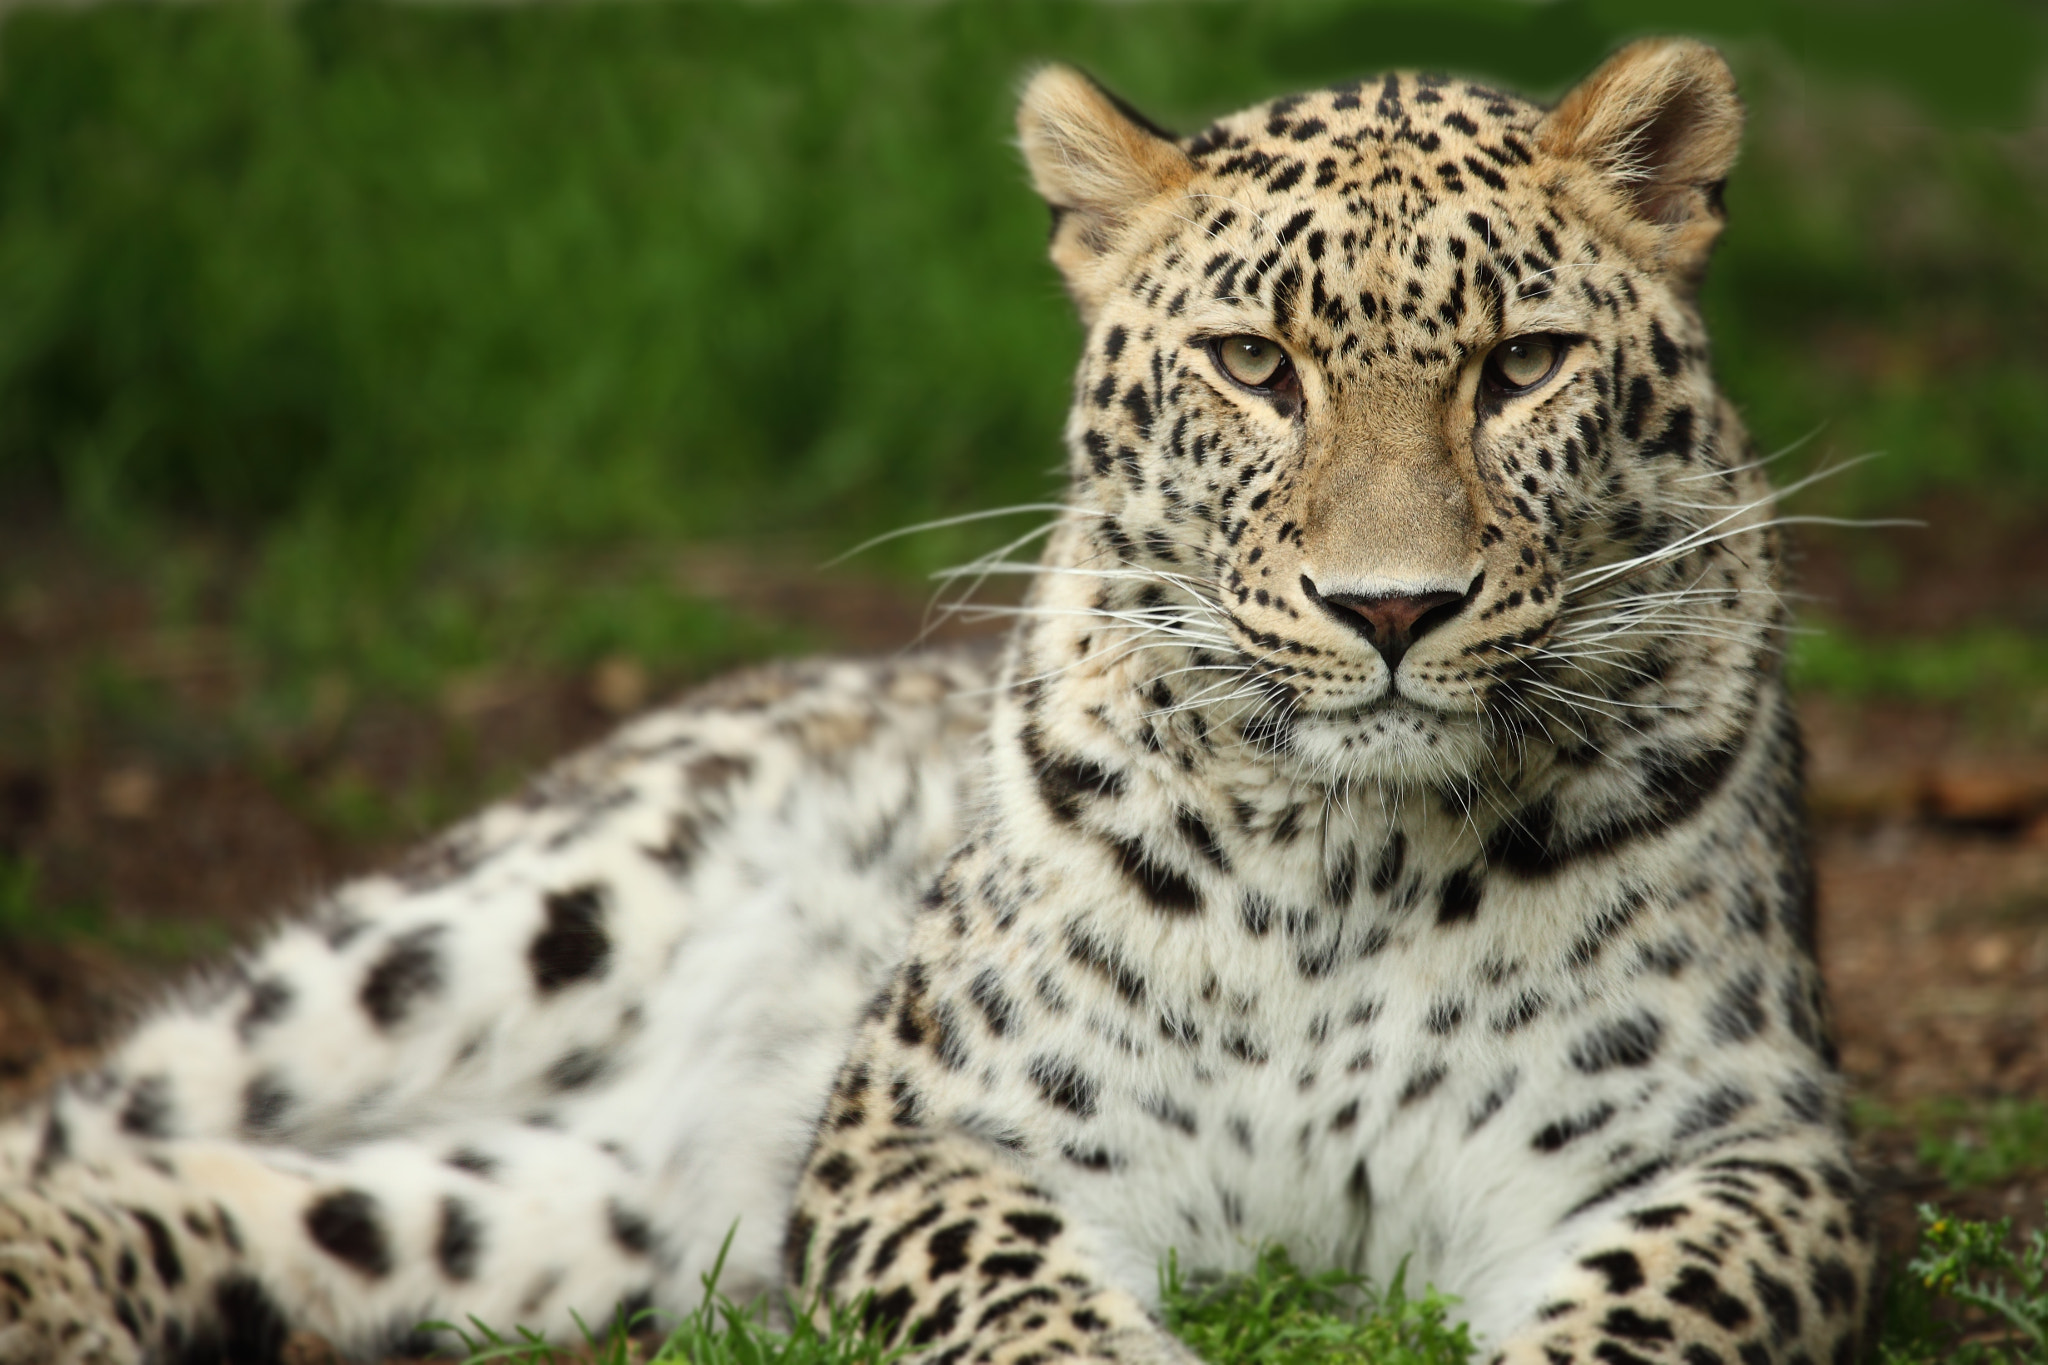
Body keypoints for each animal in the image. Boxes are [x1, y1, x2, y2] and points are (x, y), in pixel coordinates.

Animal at [0, 37, 1874, 1365]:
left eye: (1523, 365)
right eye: (1254, 366)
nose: (1393, 606)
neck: (1360, 857)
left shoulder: (1741, 1158)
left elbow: (1634, 1319)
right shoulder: (929, 1139)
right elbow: (1030, 1313)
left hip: (574, 1207)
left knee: (307, 1206)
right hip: (473, 936)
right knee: (101, 1113)